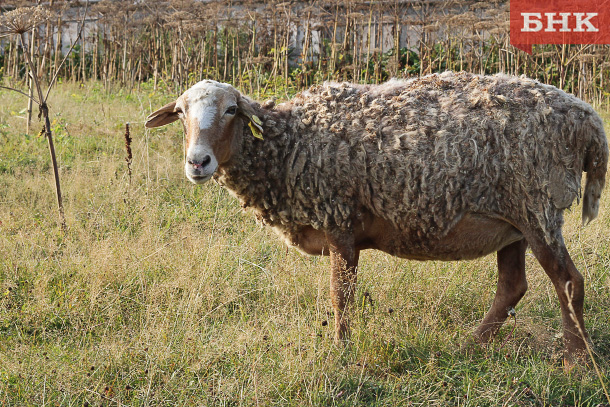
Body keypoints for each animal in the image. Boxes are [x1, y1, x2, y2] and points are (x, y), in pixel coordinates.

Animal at [145, 71, 604, 366]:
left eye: (231, 110)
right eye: (181, 113)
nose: (198, 162)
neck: (292, 143)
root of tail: (588, 118)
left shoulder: (339, 222)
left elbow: (340, 297)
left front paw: (341, 352)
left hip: (538, 208)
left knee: (568, 281)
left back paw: (577, 361)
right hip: (513, 222)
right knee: (513, 286)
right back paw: (470, 345)